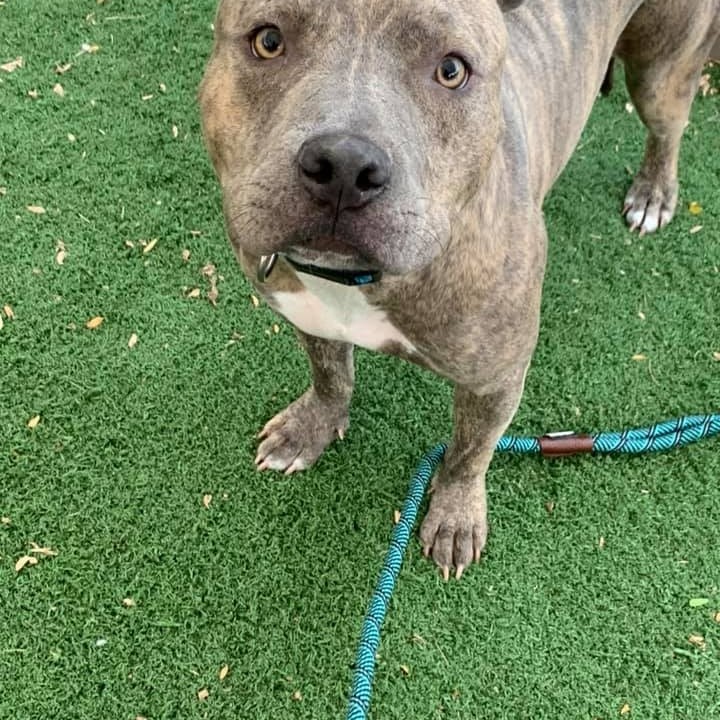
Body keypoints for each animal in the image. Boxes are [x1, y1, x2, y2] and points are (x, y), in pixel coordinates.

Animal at [200, 0, 720, 580]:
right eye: (268, 40)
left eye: (451, 70)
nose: (344, 165)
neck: (358, 281)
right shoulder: (309, 316)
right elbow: (331, 376)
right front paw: (311, 428)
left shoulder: (494, 381)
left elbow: (471, 451)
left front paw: (454, 515)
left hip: (661, 71)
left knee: (668, 125)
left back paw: (653, 192)